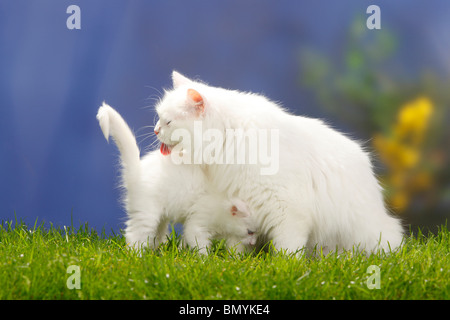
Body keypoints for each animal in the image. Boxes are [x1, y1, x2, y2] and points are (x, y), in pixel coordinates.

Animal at [96, 102, 258, 252]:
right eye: (250, 232)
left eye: (256, 233)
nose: (254, 243)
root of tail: (138, 169)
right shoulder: (197, 223)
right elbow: (200, 246)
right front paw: (205, 260)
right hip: (147, 214)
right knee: (134, 235)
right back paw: (137, 256)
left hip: (160, 218)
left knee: (155, 236)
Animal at [154, 70, 404, 255]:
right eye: (158, 117)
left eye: (168, 122)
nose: (155, 130)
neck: (230, 138)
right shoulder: (241, 207)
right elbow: (238, 244)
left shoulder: (288, 211)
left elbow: (287, 251)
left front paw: (286, 268)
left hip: (366, 235)